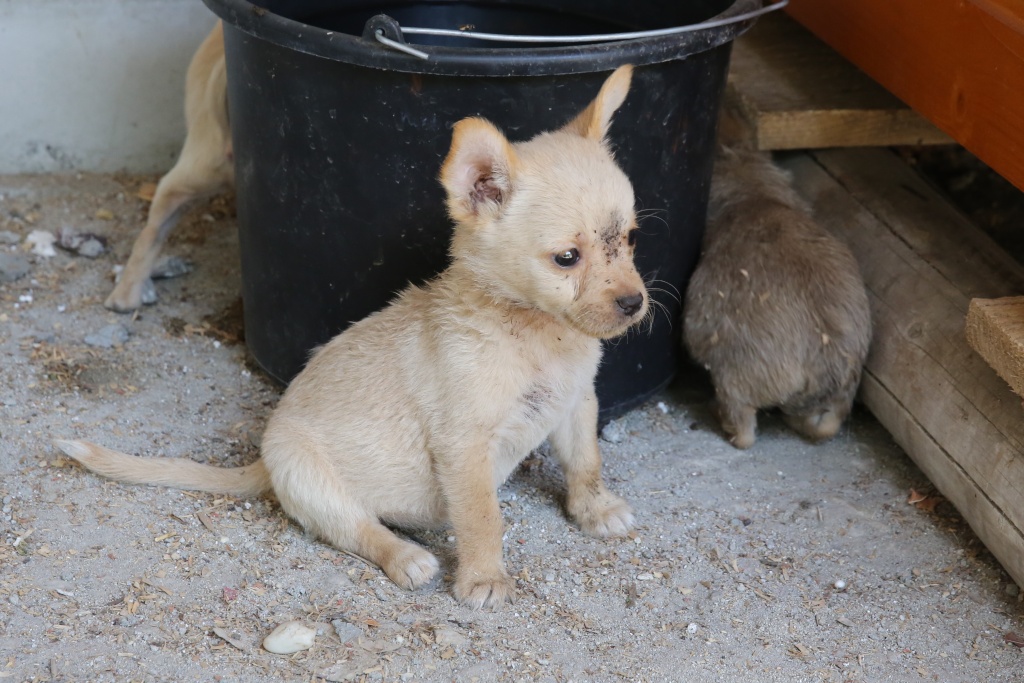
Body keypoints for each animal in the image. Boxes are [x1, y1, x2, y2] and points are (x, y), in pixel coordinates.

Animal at [58, 63, 647, 610]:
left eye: (633, 238)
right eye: (566, 258)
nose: (635, 303)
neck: (537, 335)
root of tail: (262, 462)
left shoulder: (577, 404)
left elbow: (585, 462)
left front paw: (595, 510)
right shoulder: (465, 446)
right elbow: (483, 516)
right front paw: (484, 577)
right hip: (312, 484)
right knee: (356, 530)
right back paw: (406, 556)